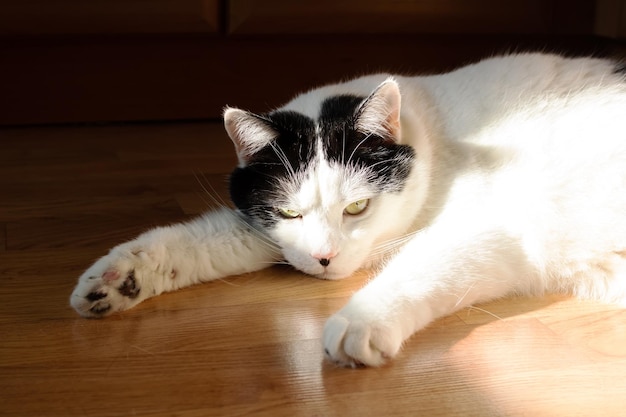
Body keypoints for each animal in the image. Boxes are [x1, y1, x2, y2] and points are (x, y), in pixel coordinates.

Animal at [68, 52, 624, 368]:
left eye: (357, 207)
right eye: (290, 215)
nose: (324, 259)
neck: (437, 136)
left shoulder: (494, 230)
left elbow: (422, 267)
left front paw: (360, 322)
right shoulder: (262, 230)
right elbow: (191, 241)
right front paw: (117, 280)